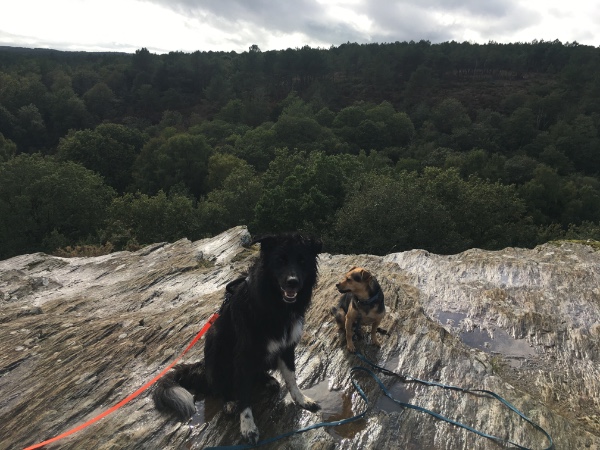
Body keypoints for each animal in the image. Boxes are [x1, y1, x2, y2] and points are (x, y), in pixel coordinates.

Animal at [153, 232, 323, 444]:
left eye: (302, 261)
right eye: (280, 260)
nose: (293, 282)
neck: (276, 306)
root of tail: (202, 367)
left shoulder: (287, 347)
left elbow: (292, 378)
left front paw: (302, 400)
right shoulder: (244, 355)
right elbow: (244, 395)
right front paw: (248, 427)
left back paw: (267, 380)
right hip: (215, 345)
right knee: (220, 386)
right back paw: (229, 401)